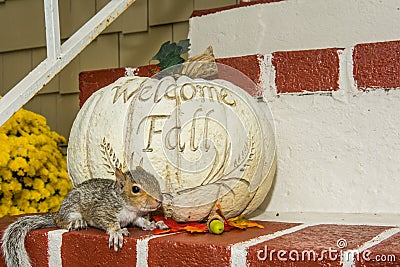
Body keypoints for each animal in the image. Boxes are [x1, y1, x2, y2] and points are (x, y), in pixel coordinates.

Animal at [1, 166, 167, 266]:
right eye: (135, 189)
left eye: (155, 181)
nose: (159, 200)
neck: (131, 208)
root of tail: (58, 211)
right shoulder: (103, 209)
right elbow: (108, 221)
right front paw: (117, 232)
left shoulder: (137, 216)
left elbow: (142, 221)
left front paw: (152, 224)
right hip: (71, 208)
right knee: (59, 220)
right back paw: (76, 222)